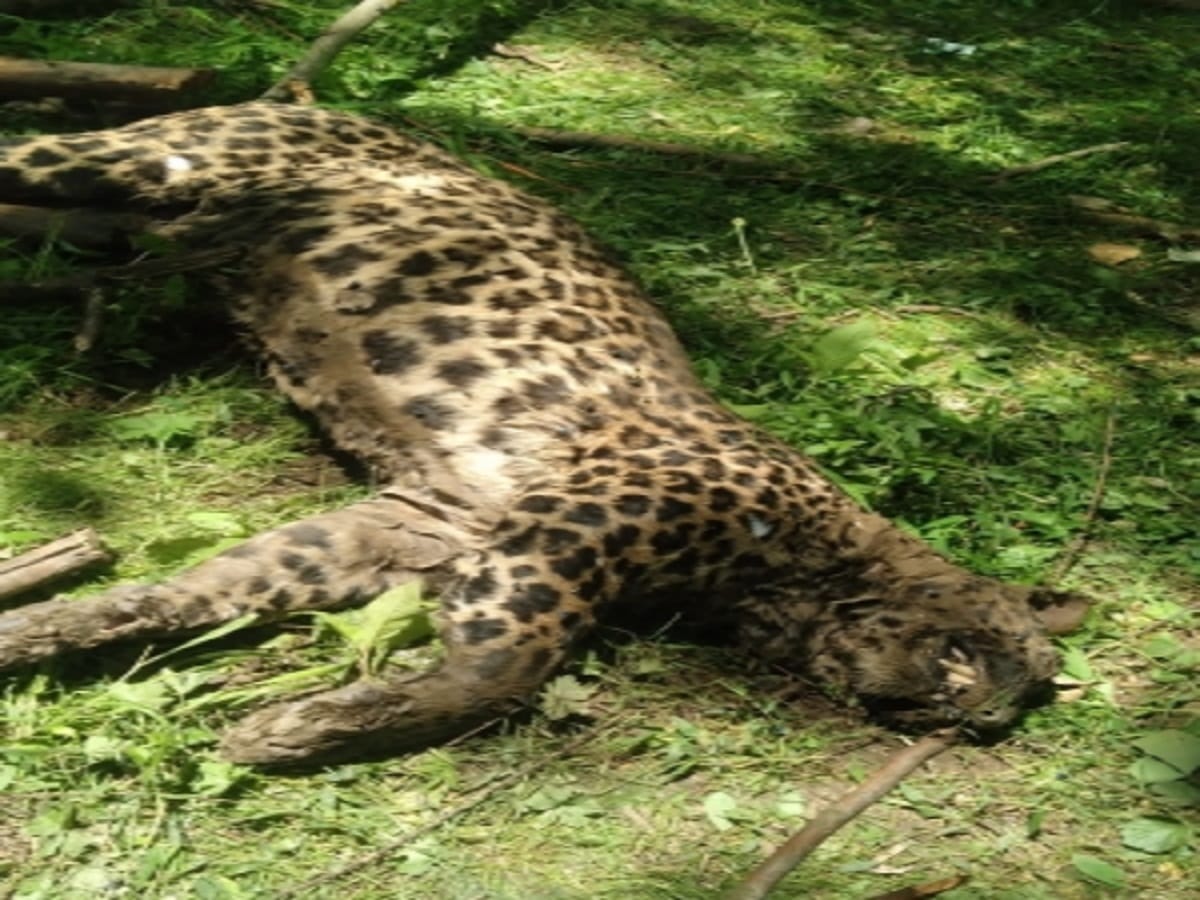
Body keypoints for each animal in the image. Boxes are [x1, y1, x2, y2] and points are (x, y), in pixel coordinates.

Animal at [0, 102, 1088, 766]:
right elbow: (507, 673)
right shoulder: (556, 541)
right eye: (979, 658)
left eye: (1015, 696)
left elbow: (201, 589)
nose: (977, 720)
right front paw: (303, 728)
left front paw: (44, 630)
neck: (793, 578)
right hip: (137, 157)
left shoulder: (415, 527)